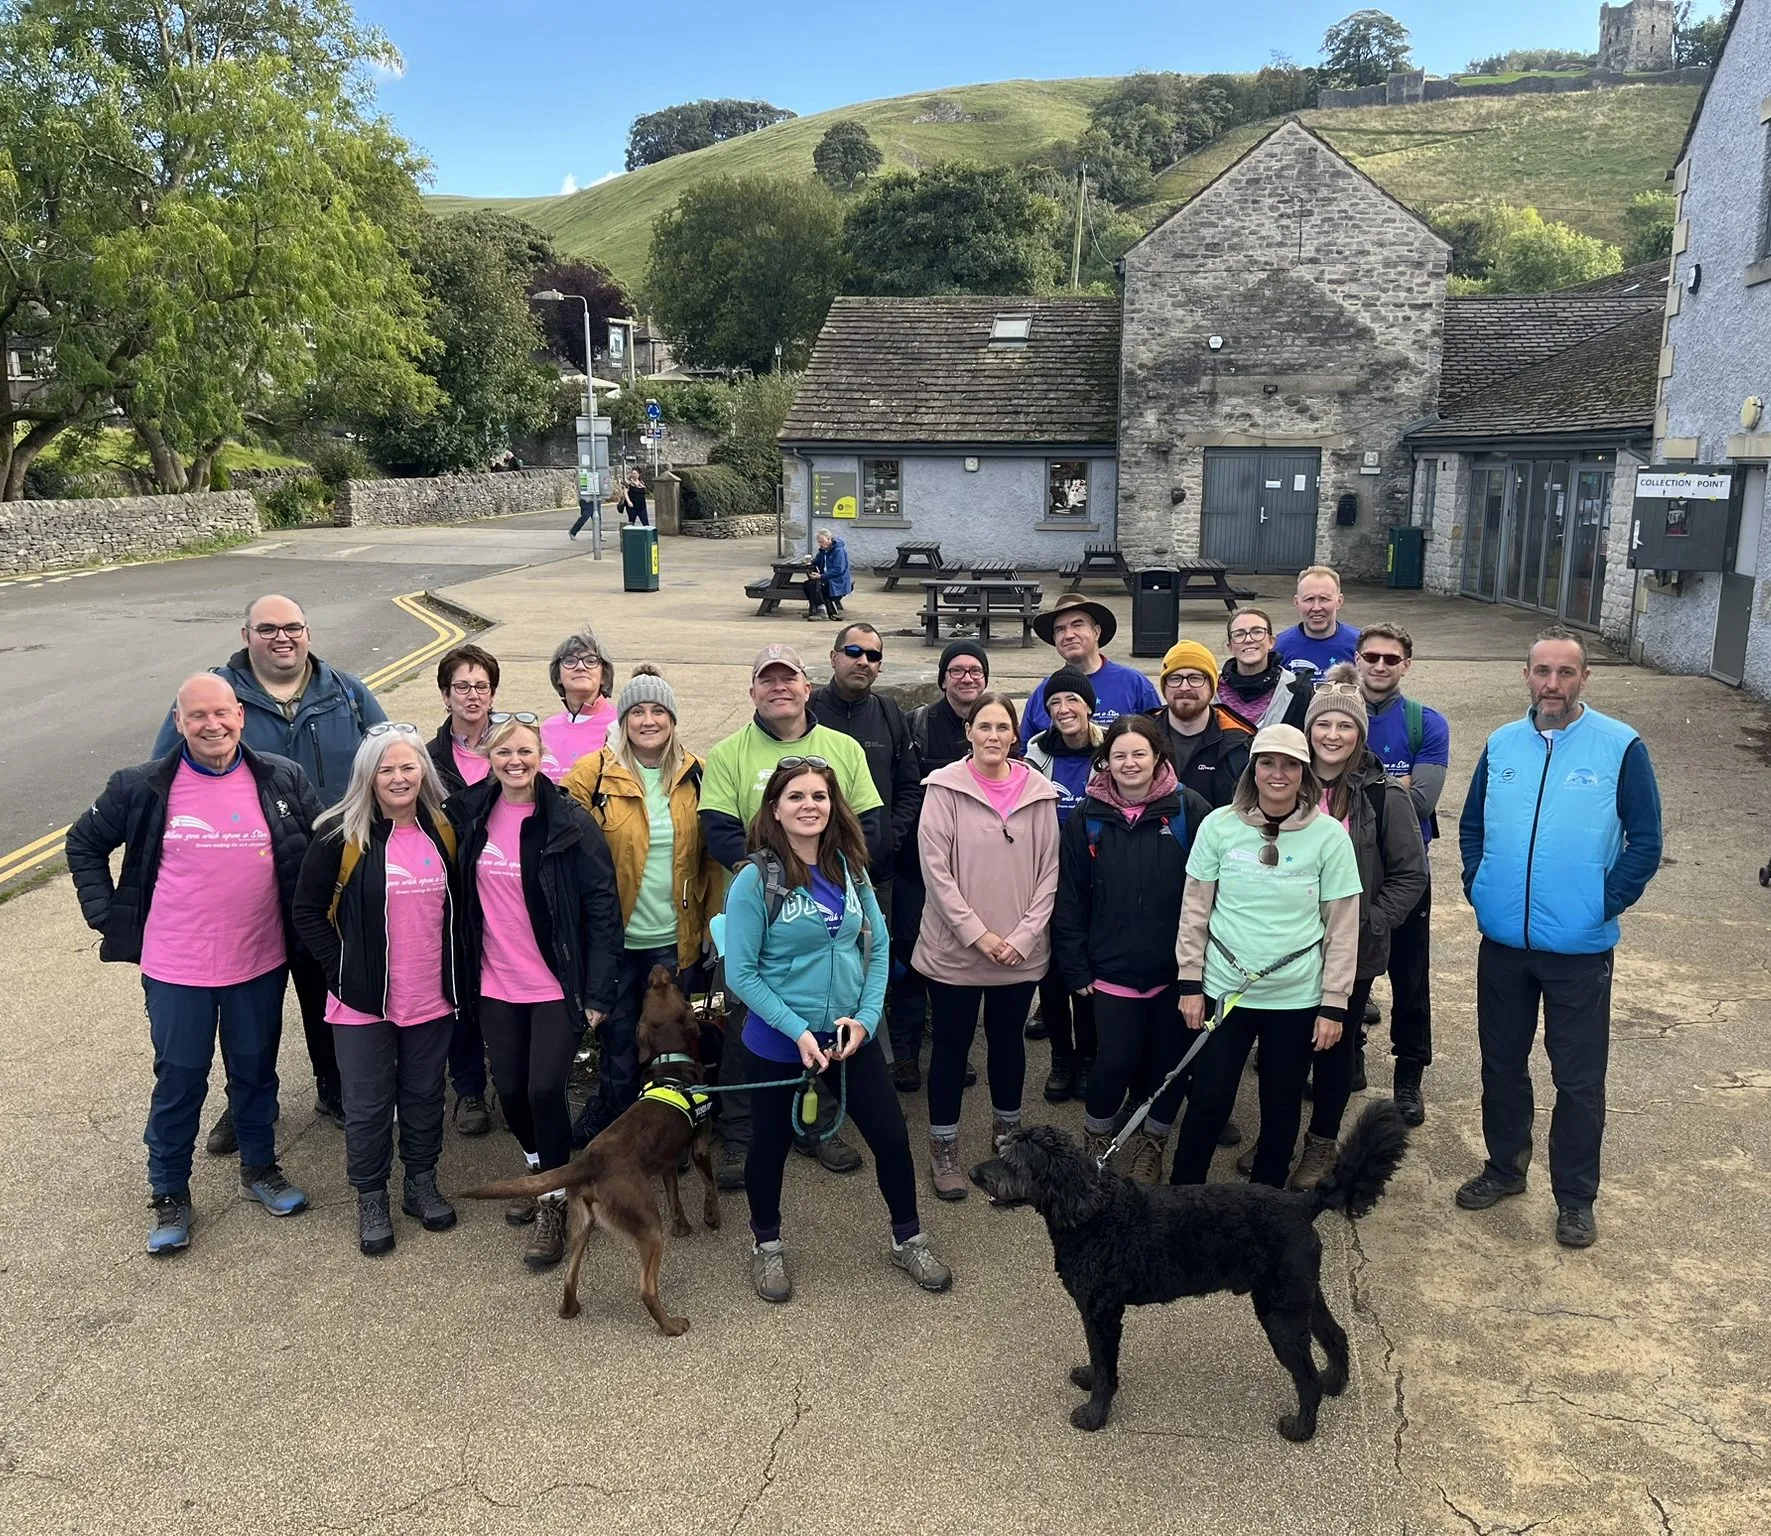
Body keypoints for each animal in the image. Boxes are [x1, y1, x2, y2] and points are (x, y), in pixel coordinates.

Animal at [462, 966, 720, 1335]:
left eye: (655, 991)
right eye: (669, 988)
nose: (657, 971)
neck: (671, 1061)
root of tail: (589, 1161)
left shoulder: (668, 1162)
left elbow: (675, 1197)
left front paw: (683, 1225)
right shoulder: (699, 1146)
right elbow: (710, 1186)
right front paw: (712, 1217)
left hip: (582, 1224)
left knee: (569, 1278)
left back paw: (570, 1309)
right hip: (647, 1226)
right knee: (646, 1290)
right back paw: (671, 1325)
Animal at [970, 1100, 1409, 1442]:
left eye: (1013, 1162)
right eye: (1002, 1150)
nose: (975, 1174)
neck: (1092, 1210)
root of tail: (1301, 1205)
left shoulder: (1103, 1312)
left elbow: (1108, 1367)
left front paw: (1094, 1414)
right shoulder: (1095, 1314)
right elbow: (1097, 1358)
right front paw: (1089, 1377)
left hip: (1280, 1315)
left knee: (1307, 1377)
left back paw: (1301, 1427)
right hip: (1300, 1298)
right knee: (1335, 1335)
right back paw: (1336, 1380)